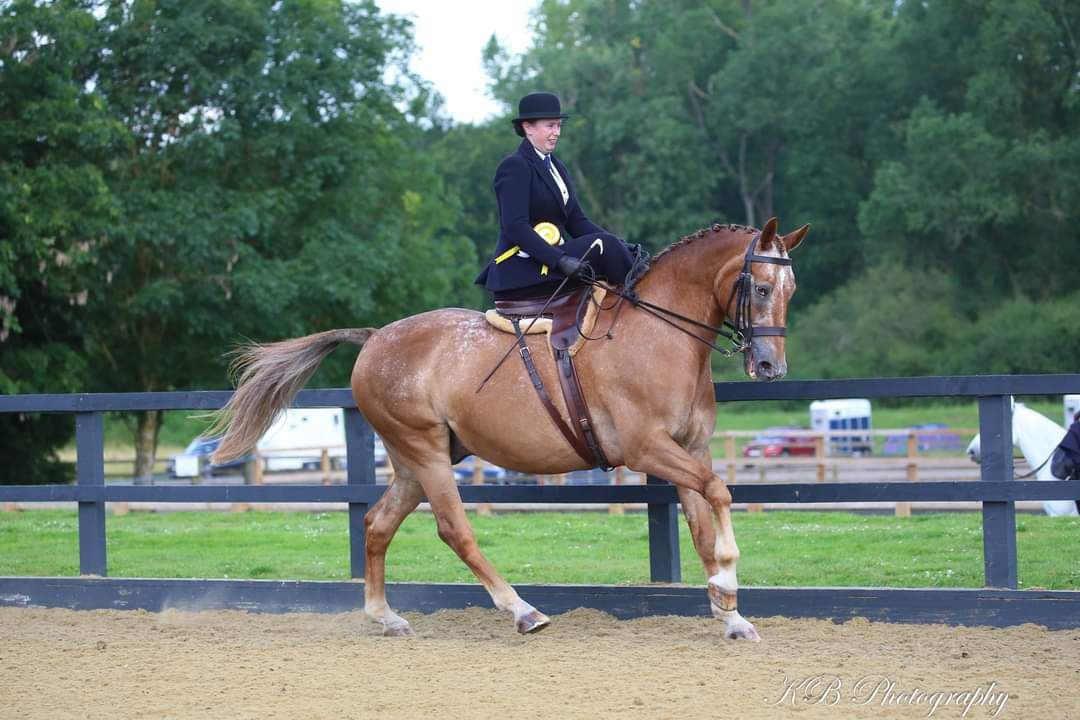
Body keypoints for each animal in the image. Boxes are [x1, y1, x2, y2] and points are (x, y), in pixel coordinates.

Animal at [210, 216, 807, 639]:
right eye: (759, 288)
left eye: (791, 289)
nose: (771, 367)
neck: (661, 333)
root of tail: (376, 337)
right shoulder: (649, 449)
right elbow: (720, 493)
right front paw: (727, 578)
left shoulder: (691, 448)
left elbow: (704, 521)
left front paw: (729, 612)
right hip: (424, 452)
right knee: (454, 530)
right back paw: (522, 611)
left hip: (414, 461)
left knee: (377, 525)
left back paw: (386, 617)